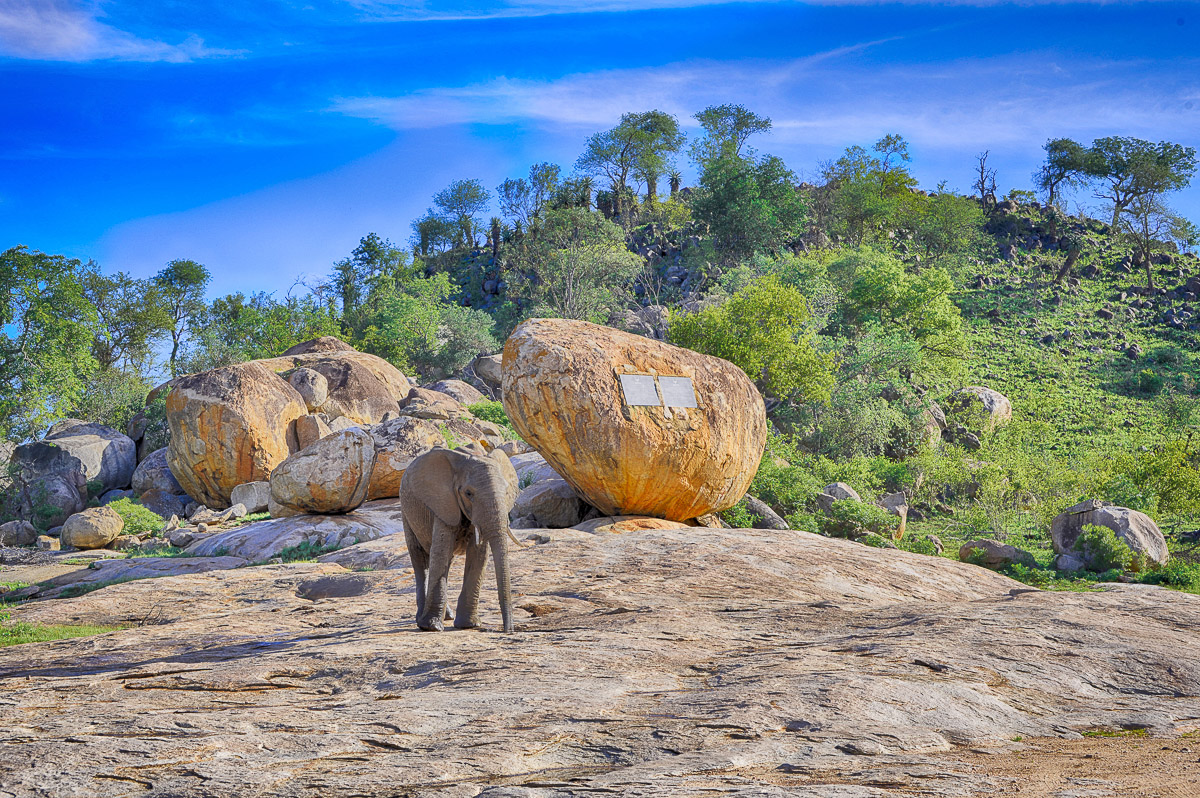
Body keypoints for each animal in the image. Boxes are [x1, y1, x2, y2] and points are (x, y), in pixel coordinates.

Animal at [399, 444, 521, 632]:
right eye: (468, 493)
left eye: (506, 491)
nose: (508, 631)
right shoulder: (443, 504)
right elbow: (440, 552)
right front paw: (432, 627)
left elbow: (479, 554)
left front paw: (469, 625)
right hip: (406, 512)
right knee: (420, 557)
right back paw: (424, 619)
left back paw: (447, 616)